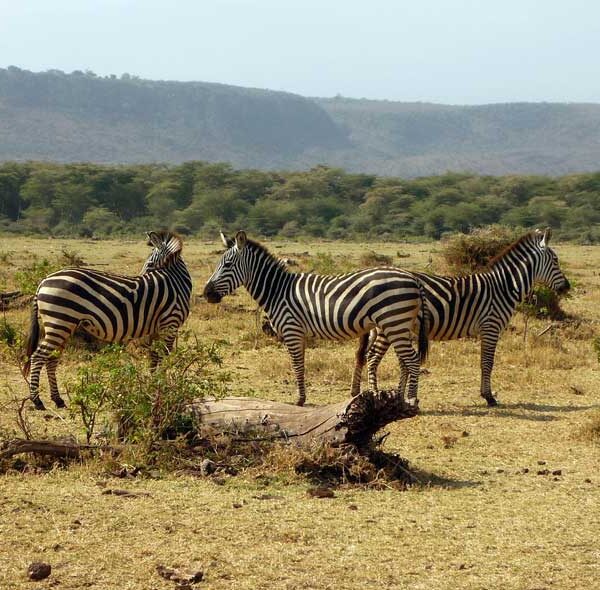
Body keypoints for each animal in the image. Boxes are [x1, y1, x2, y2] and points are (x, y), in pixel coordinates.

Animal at [22, 231, 192, 412]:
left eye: (150, 263)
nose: (140, 276)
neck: (175, 282)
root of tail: (43, 281)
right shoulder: (170, 324)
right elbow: (164, 358)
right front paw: (164, 388)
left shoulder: (156, 329)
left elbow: (154, 358)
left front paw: (153, 388)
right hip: (59, 323)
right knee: (38, 356)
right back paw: (37, 401)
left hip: (62, 325)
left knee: (51, 359)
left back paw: (58, 399)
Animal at [204, 231, 428, 408]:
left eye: (227, 265)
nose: (206, 294)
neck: (278, 291)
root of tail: (413, 278)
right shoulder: (299, 333)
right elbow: (301, 364)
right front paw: (302, 397)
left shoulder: (291, 330)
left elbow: (297, 365)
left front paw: (300, 400)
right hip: (399, 325)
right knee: (406, 360)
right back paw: (400, 398)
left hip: (394, 322)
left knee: (413, 359)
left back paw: (411, 400)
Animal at [354, 228, 568, 408]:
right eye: (555, 260)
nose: (567, 287)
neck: (503, 287)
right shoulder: (491, 326)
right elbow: (487, 362)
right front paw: (488, 397)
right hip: (389, 325)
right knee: (373, 357)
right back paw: (375, 396)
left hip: (390, 327)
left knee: (375, 357)